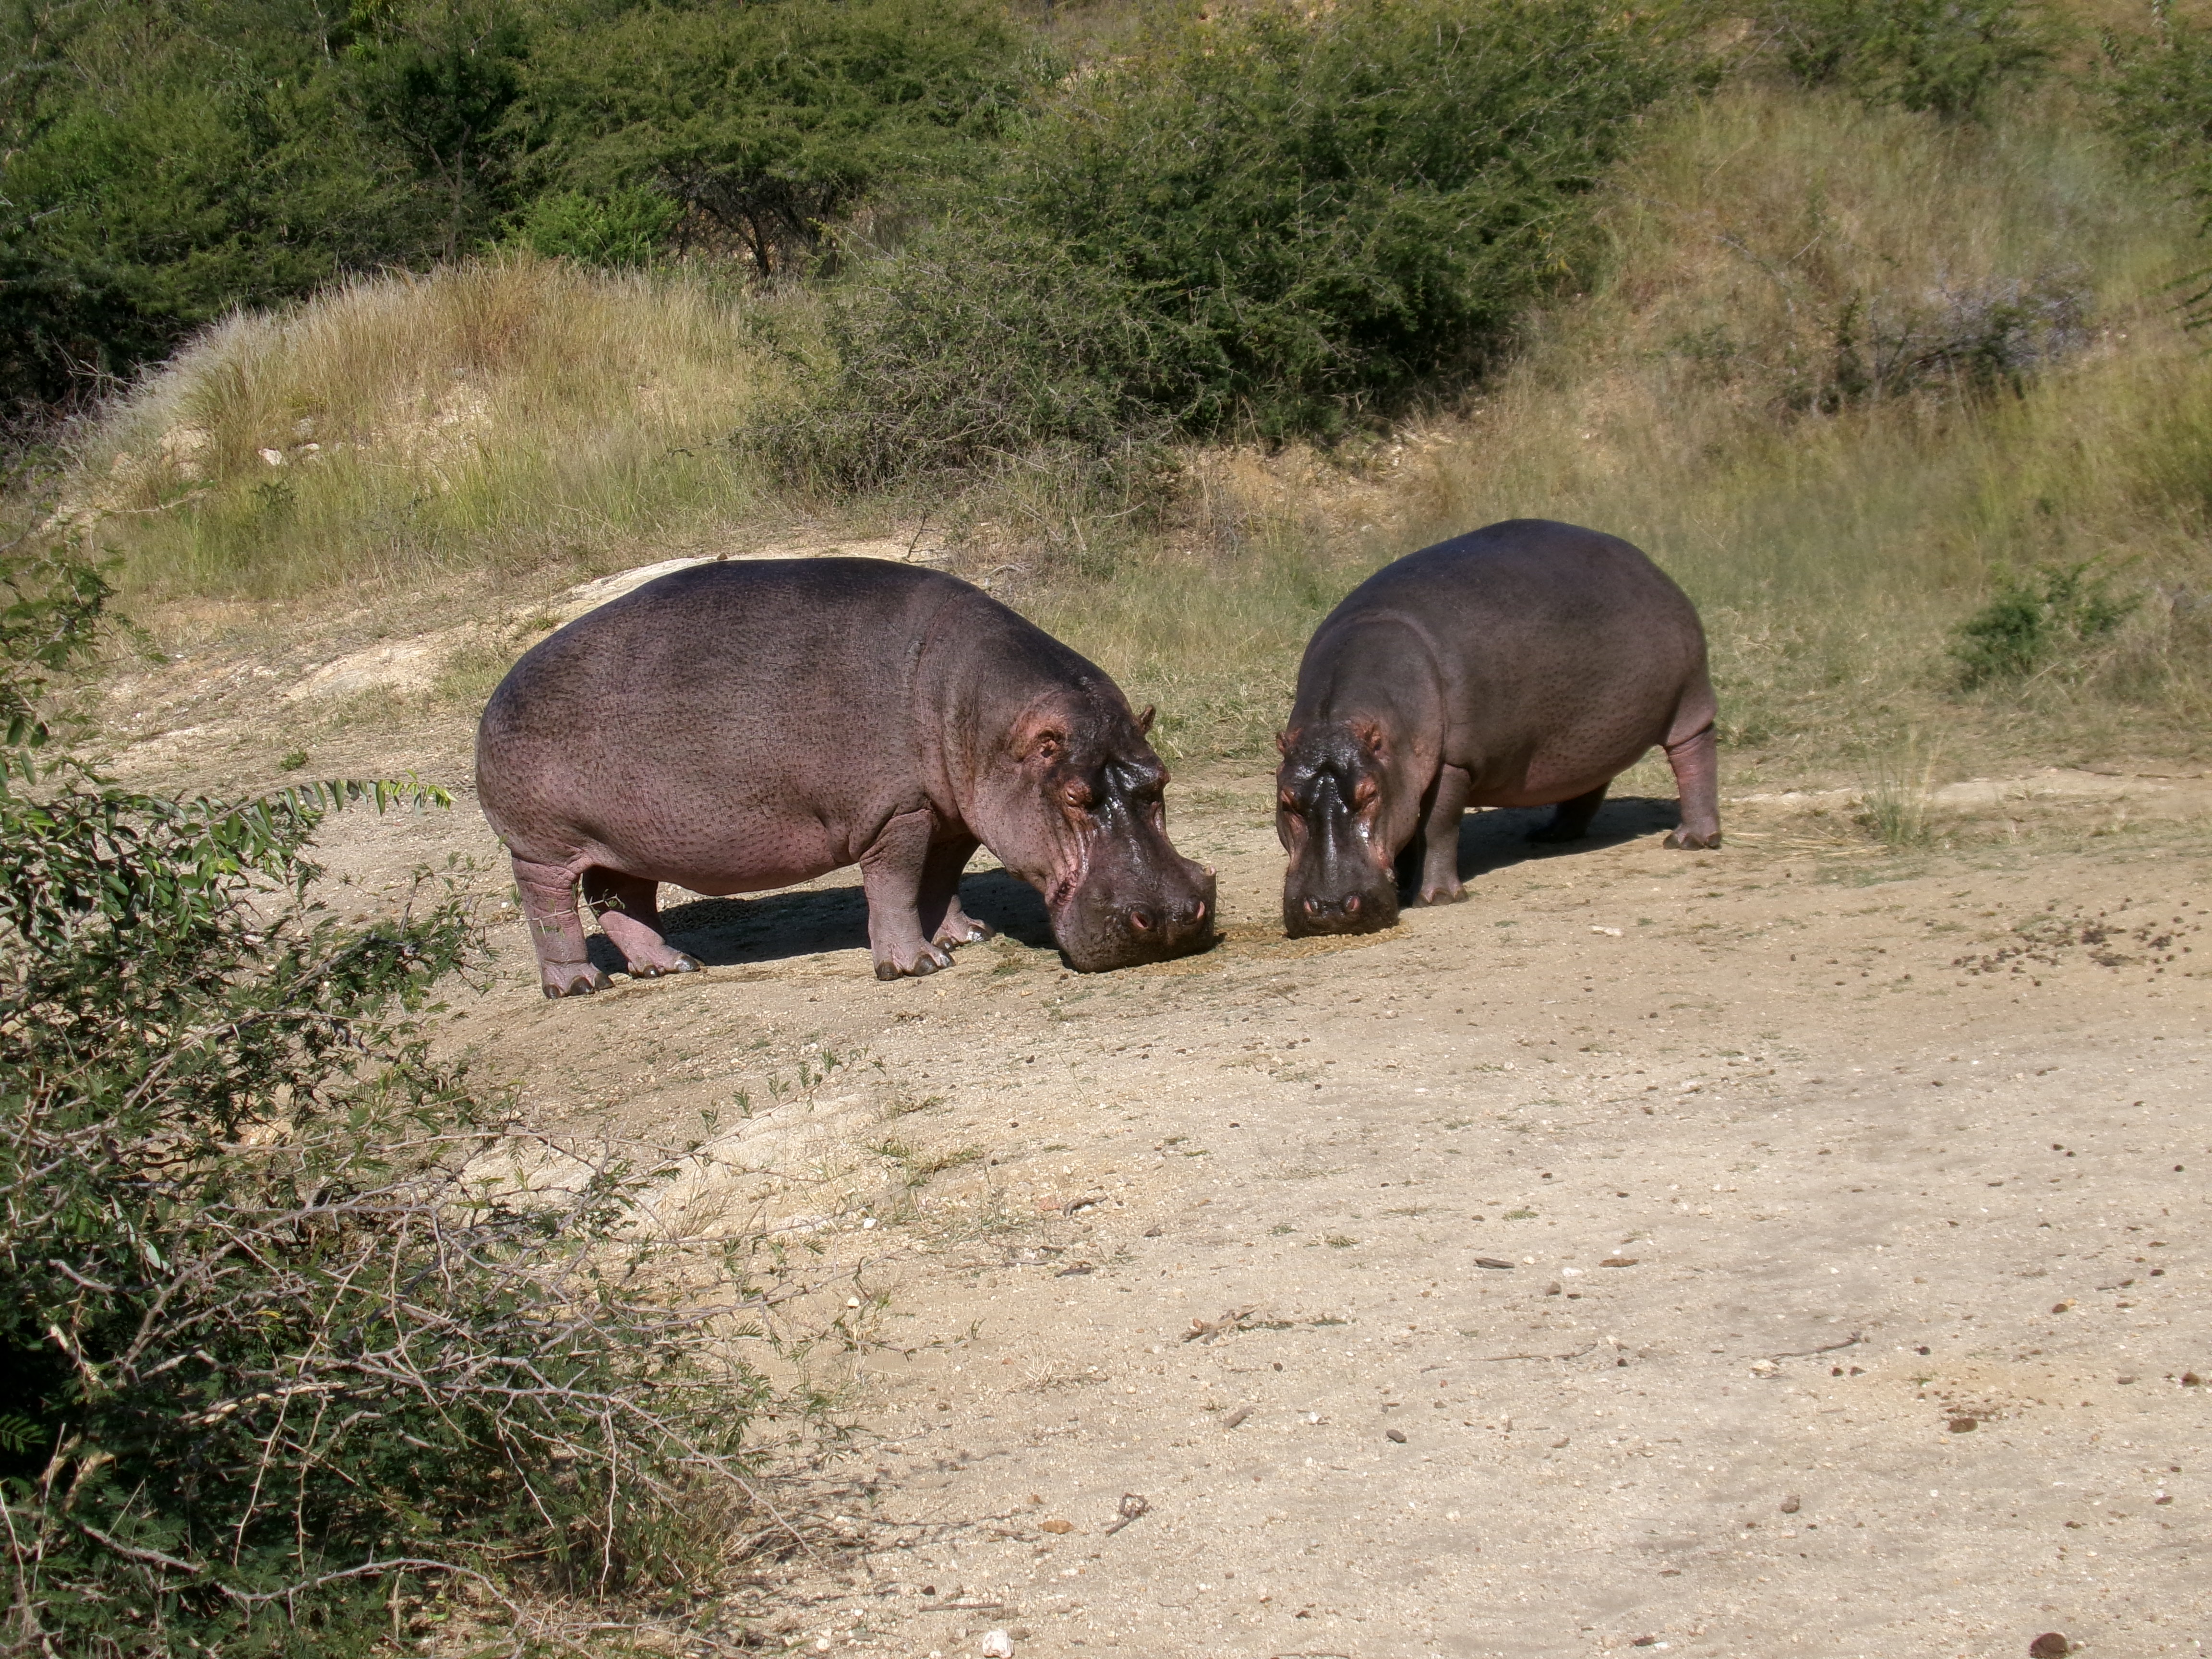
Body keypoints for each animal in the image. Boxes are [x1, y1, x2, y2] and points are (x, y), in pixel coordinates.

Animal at [476, 558, 1215, 995]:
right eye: (1074, 796)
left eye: (1160, 780)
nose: (1172, 917)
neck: (977, 709)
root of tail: (501, 684)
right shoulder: (897, 814)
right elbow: (894, 886)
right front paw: (918, 966)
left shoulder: (948, 815)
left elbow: (938, 880)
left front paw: (964, 935)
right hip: (541, 847)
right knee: (552, 908)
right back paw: (579, 985)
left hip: (628, 840)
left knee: (619, 899)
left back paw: (674, 966)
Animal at [1276, 519, 1720, 937]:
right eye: (1287, 801)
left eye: (1369, 796)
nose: (1331, 909)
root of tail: (1647, 563)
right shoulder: (1402, 775)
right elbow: (1408, 827)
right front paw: (1404, 885)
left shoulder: (1453, 763)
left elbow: (1437, 827)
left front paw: (1436, 898)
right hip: (1589, 734)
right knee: (1590, 780)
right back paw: (1552, 834)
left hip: (1689, 700)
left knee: (1694, 756)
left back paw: (1691, 840)